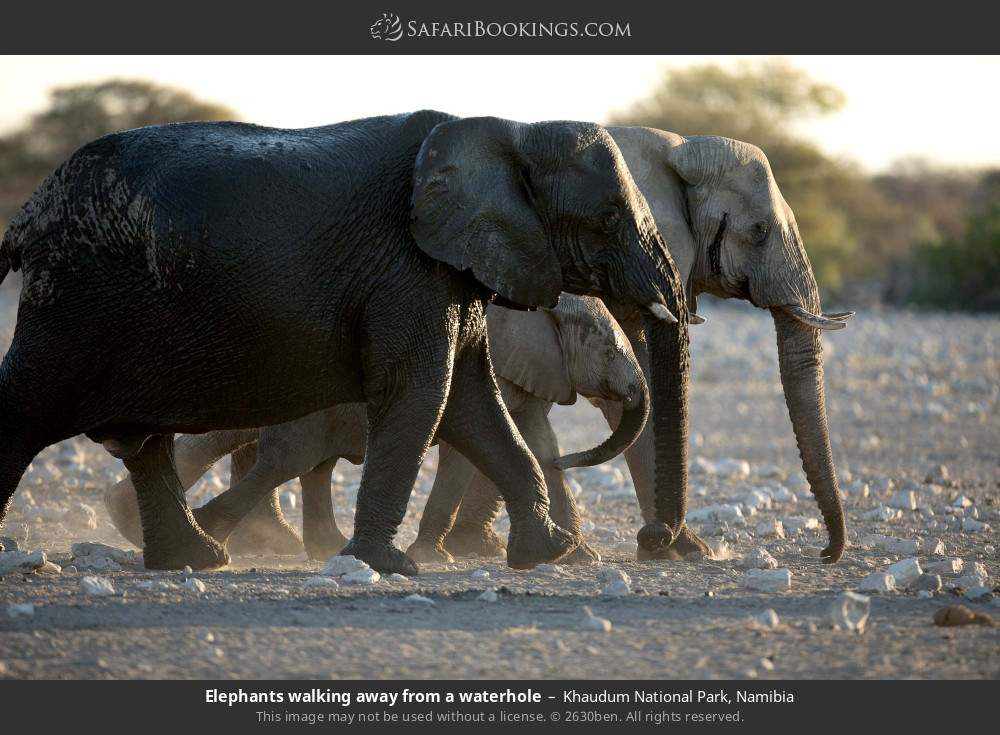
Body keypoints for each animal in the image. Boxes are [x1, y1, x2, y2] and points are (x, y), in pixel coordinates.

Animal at [101, 294, 648, 564]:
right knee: (287, 458)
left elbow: (536, 442)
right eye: (607, 352)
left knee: (298, 459)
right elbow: (465, 453)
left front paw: (580, 556)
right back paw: (208, 536)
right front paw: (432, 556)